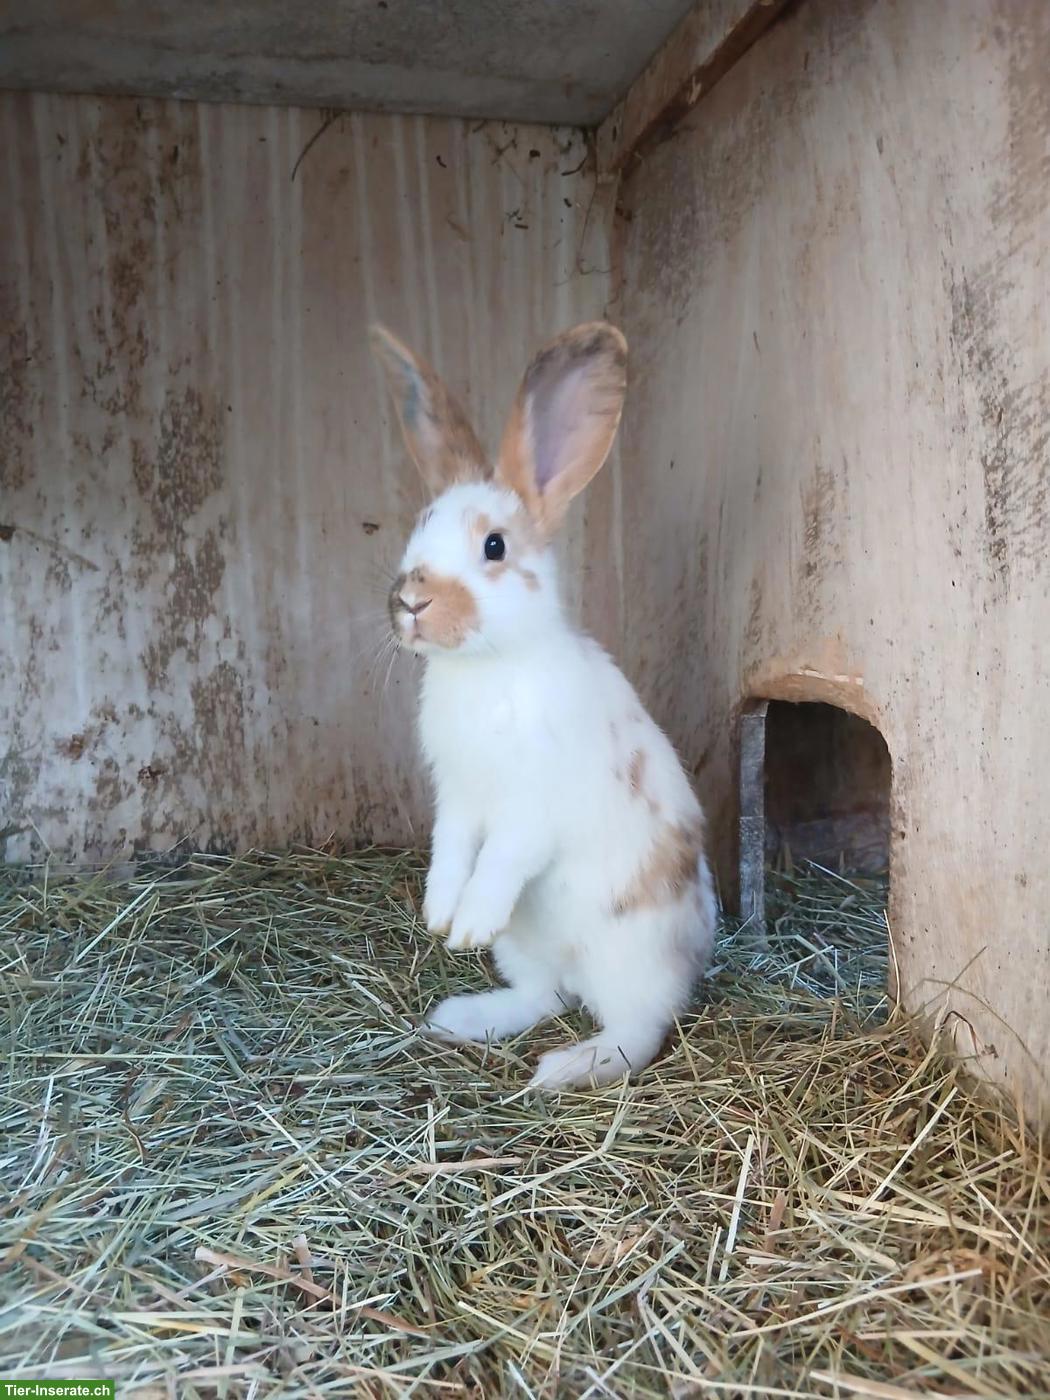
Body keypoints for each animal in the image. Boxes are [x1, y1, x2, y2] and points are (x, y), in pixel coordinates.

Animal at [371, 320, 717, 1090]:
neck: (488, 666)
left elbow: (501, 858)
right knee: (544, 996)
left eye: (494, 546)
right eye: (418, 526)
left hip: (630, 957)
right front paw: (442, 918)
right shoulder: (458, 799)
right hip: (527, 948)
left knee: (636, 1031)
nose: (411, 600)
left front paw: (468, 922)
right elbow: (450, 852)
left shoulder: (533, 806)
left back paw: (566, 1067)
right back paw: (462, 1018)